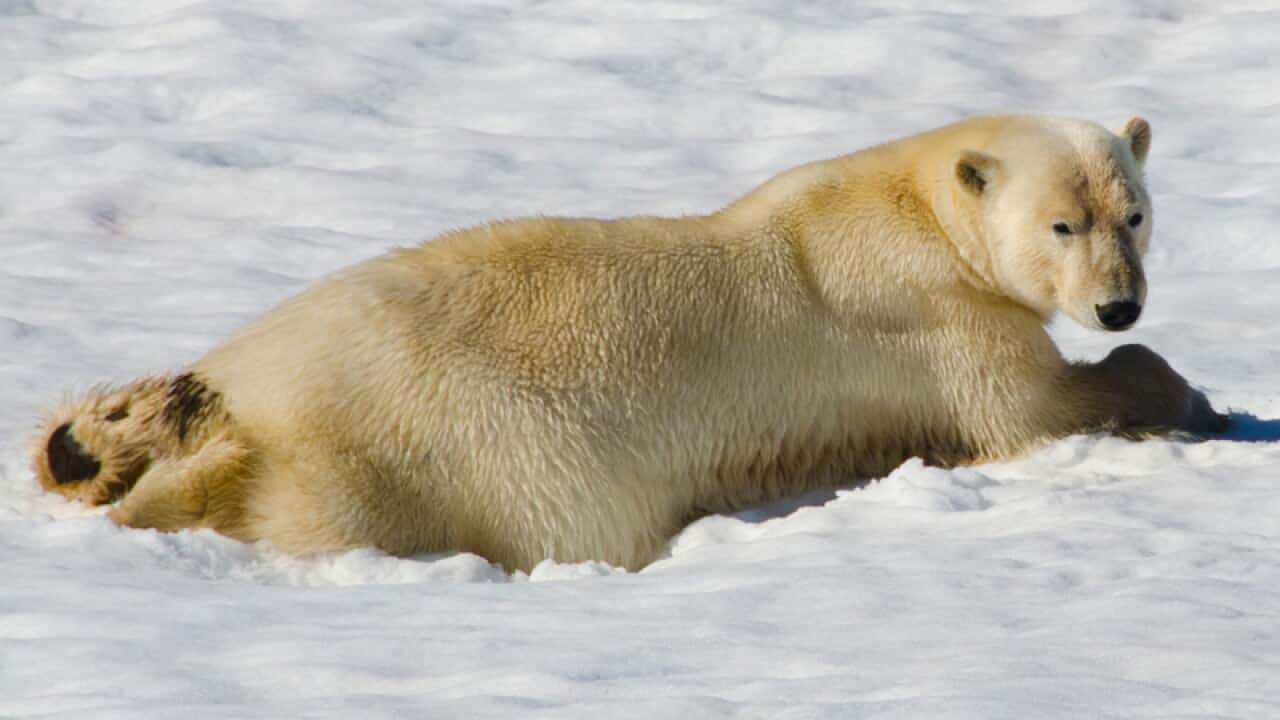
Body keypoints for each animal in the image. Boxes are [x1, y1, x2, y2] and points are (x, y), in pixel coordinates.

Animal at [31, 114, 1228, 573]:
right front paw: (1194, 397)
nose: (1119, 306)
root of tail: (259, 398)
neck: (914, 202)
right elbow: (1029, 411)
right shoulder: (930, 317)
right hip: (450, 447)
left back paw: (111, 433)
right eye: (1062, 225)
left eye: (1133, 213)